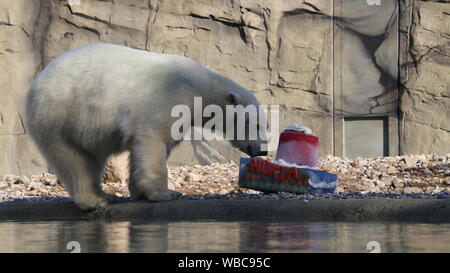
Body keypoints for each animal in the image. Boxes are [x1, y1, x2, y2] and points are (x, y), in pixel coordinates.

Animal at [26, 42, 268, 209]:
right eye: (256, 124)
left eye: (265, 125)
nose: (262, 150)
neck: (198, 89)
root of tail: (36, 83)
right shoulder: (164, 99)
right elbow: (153, 141)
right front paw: (166, 194)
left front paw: (139, 192)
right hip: (59, 114)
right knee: (73, 159)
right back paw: (94, 201)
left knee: (91, 159)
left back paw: (105, 194)